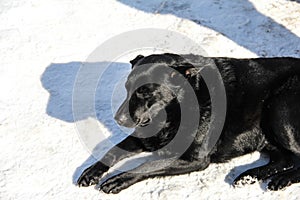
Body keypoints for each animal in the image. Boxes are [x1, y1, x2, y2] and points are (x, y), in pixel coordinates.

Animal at [77, 53, 300, 194]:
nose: (118, 119)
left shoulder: (194, 159)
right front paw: (91, 171)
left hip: (279, 109)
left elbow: (147, 165)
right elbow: (113, 150)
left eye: (145, 92)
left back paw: (282, 179)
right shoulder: (145, 137)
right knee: (284, 160)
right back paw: (249, 175)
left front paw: (118, 180)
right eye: (127, 88)